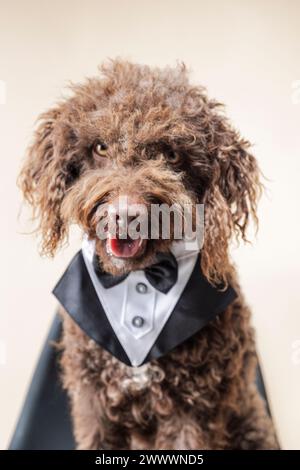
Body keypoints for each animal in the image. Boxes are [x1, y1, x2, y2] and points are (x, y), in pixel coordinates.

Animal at [19, 60, 278, 450]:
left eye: (171, 155)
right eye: (100, 147)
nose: (126, 214)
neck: (140, 278)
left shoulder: (193, 410)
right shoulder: (94, 404)